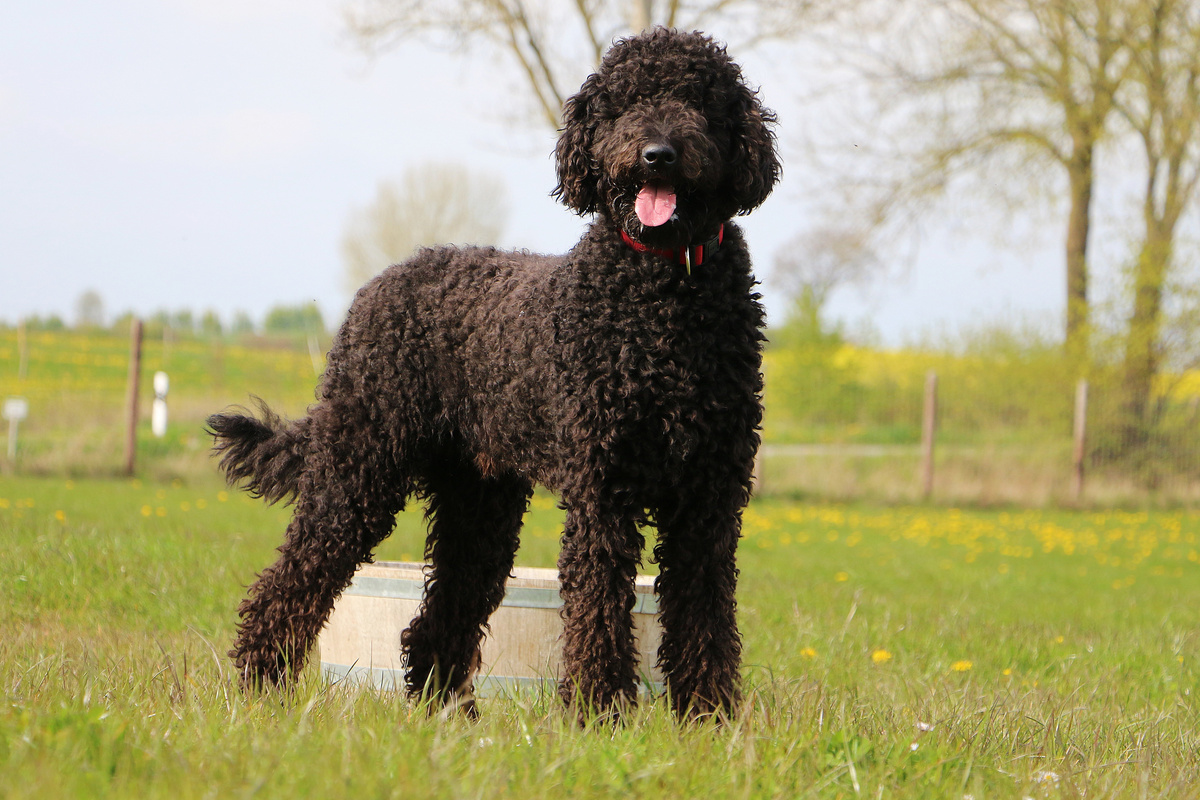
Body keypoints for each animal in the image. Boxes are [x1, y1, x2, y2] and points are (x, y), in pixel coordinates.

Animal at [208, 29, 777, 719]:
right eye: (623, 103)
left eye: (698, 99)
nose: (657, 155)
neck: (664, 298)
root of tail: (379, 285)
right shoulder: (602, 491)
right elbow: (598, 606)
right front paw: (598, 713)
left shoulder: (709, 497)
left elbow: (704, 612)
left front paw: (708, 718)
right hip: (357, 469)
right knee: (294, 578)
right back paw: (260, 683)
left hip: (480, 503)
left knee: (437, 618)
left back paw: (445, 716)